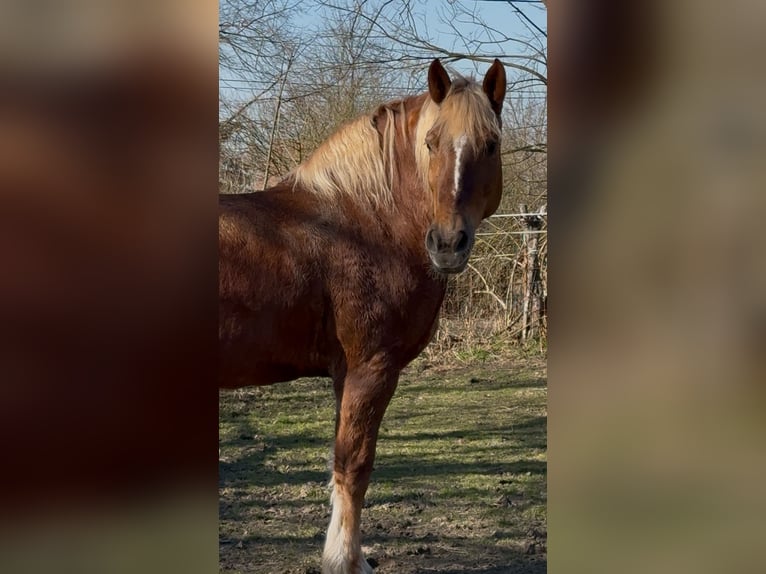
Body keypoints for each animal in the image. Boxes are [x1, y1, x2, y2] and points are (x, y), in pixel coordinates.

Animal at [219, 58, 506, 574]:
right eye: (431, 142)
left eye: (490, 145)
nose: (447, 244)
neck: (365, 221)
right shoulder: (371, 369)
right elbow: (354, 466)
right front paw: (346, 561)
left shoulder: (345, 374)